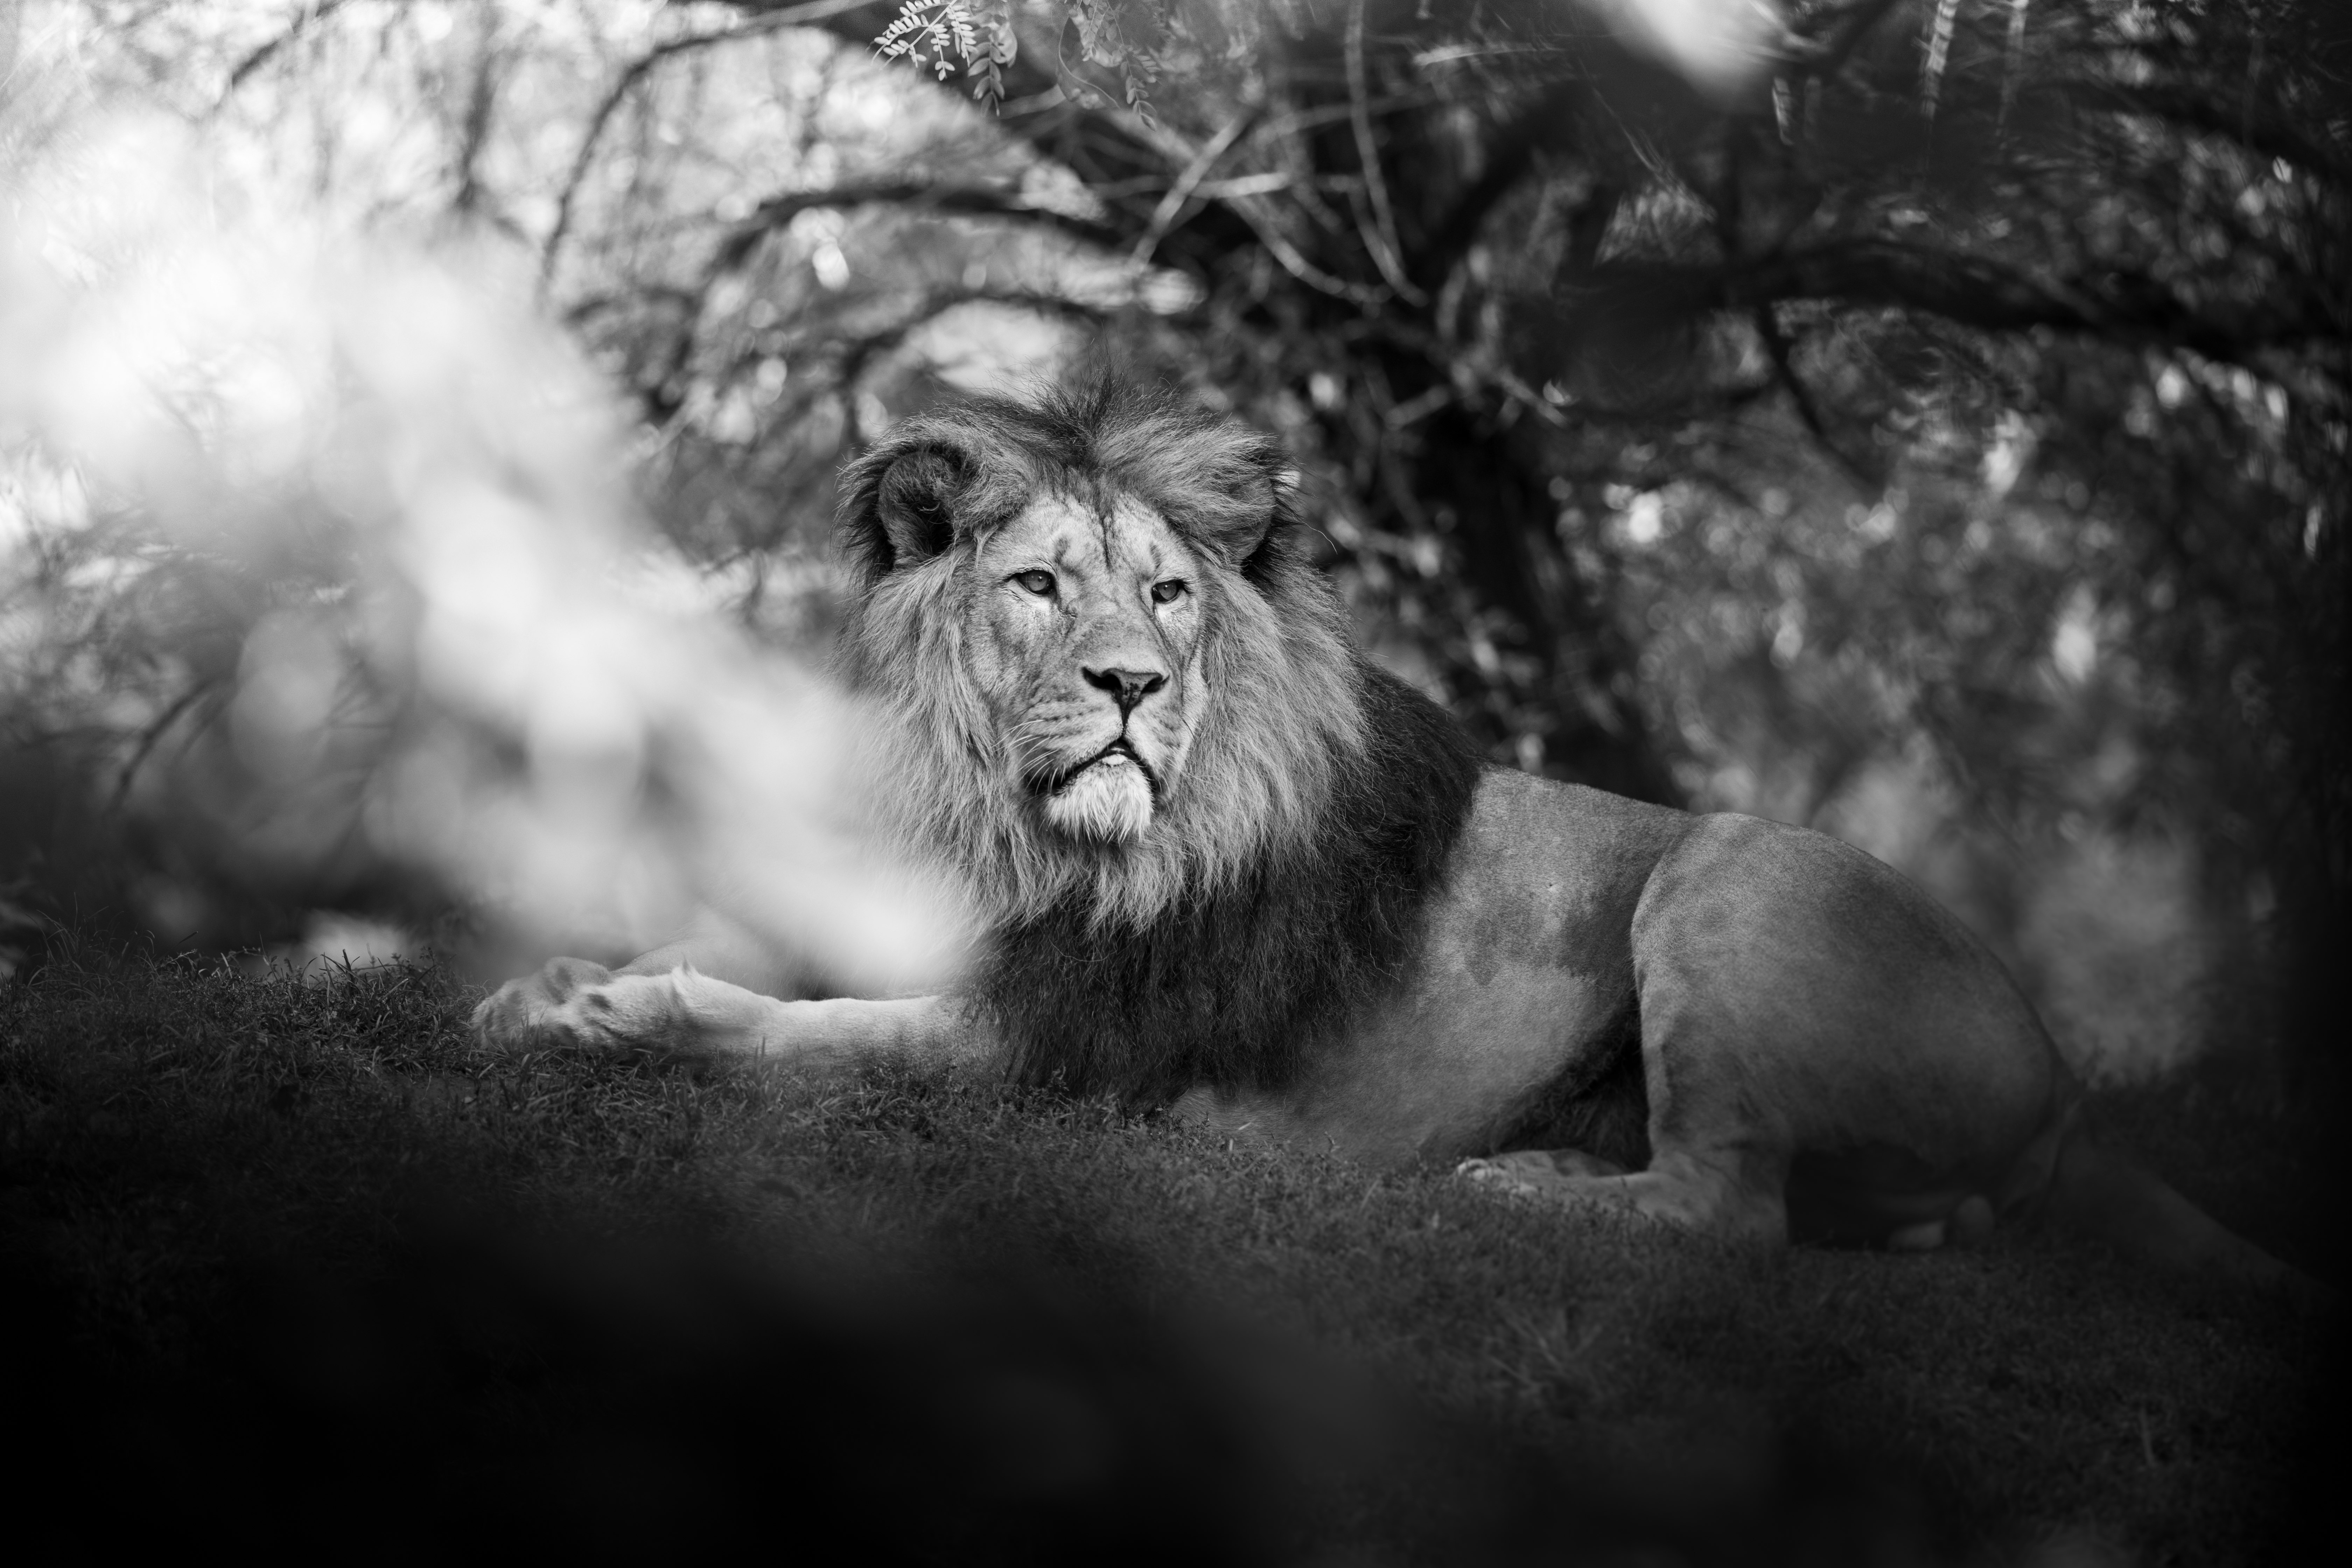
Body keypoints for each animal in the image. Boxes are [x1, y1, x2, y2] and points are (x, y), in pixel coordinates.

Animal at [477, 373, 2314, 1297]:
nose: (1137, 684)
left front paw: (627, 1011)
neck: (1000, 819)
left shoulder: (1055, 1049)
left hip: (1737, 870)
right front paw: (542, 983)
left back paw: (1518, 1186)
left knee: (1727, 1212)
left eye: (1167, 594)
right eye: (1041, 586)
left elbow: (807, 1033)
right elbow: (744, 958)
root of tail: (2065, 1083)